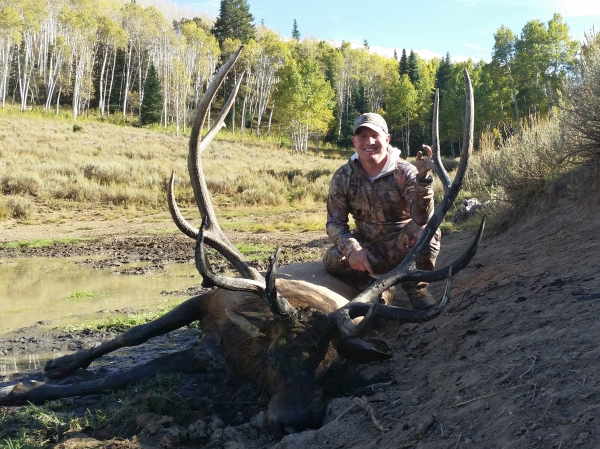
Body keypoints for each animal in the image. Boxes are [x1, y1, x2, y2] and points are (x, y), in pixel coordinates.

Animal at [0, 47, 483, 439]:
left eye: (331, 364)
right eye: (276, 353)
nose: (295, 421)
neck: (239, 347)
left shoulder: (203, 355)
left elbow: (122, 374)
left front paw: (29, 384)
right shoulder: (205, 302)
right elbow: (133, 336)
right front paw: (34, 380)